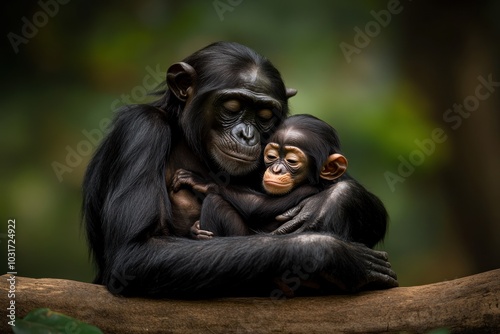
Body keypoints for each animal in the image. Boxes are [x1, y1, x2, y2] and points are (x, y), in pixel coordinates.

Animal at [173, 115, 368, 240]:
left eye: (291, 161)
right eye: (272, 156)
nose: (276, 169)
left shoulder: (309, 189)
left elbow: (260, 206)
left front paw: (202, 182)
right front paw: (194, 229)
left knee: (215, 203)